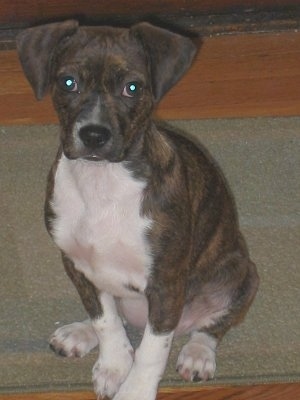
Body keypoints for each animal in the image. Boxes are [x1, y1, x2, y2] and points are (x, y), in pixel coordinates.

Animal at [17, 21, 258, 400]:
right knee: (116, 314)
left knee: (211, 325)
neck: (102, 181)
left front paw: (135, 389)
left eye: (133, 88)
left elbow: (152, 350)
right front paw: (114, 365)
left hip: (241, 274)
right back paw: (79, 332)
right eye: (68, 82)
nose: (94, 134)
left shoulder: (165, 281)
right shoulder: (77, 264)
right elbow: (104, 319)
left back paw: (198, 354)